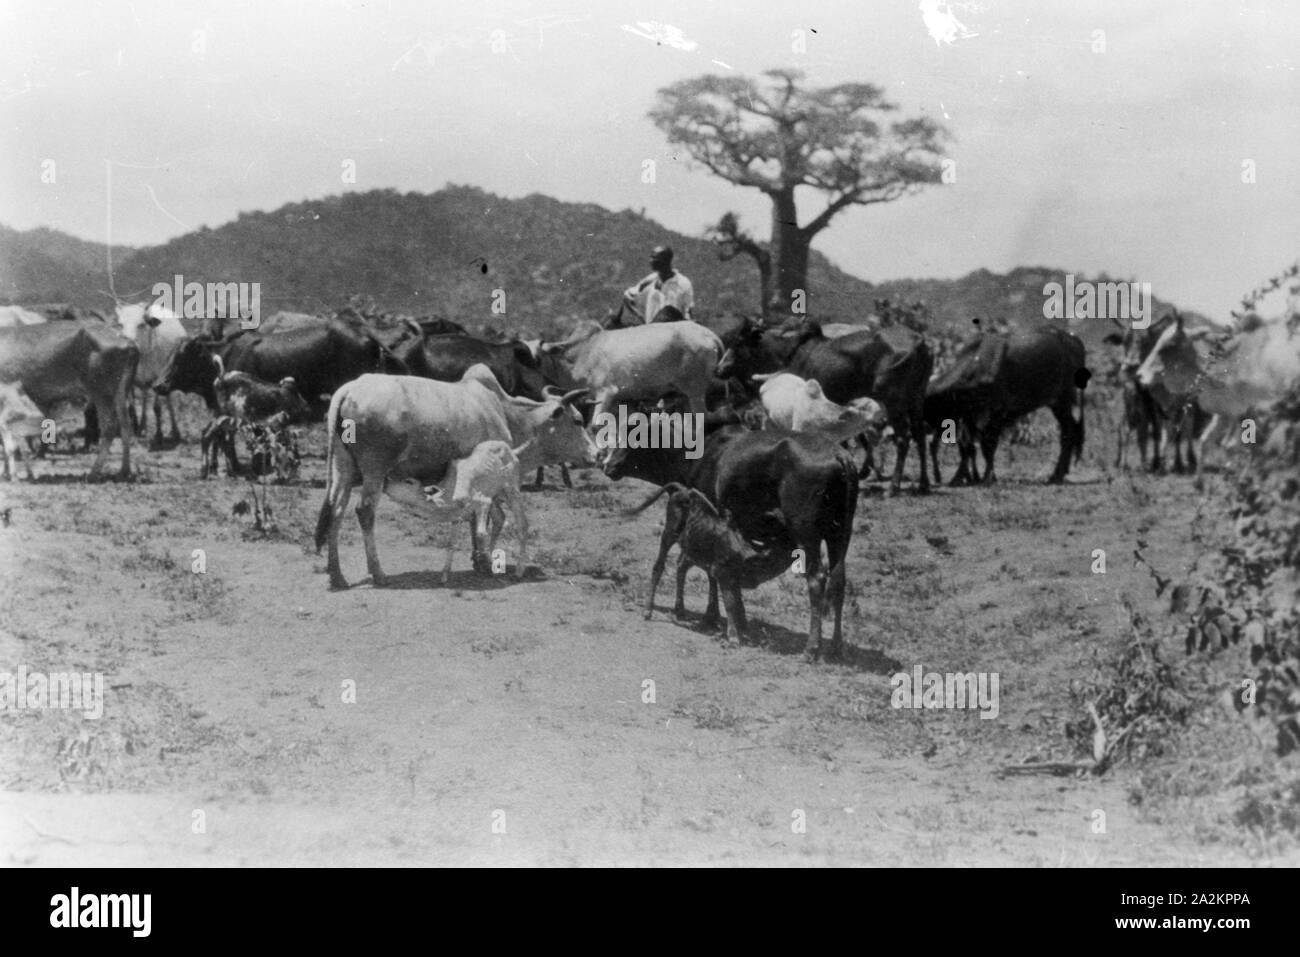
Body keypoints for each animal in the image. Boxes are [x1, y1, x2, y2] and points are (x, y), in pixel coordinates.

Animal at [631, 481, 790, 647]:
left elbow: (738, 604)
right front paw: (733, 637)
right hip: (669, 532)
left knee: (681, 566)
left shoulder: (734, 578)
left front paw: (744, 631)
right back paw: (648, 610)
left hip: (691, 547)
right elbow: (731, 604)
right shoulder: (723, 573)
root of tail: (682, 489)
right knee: (659, 566)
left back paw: (680, 611)